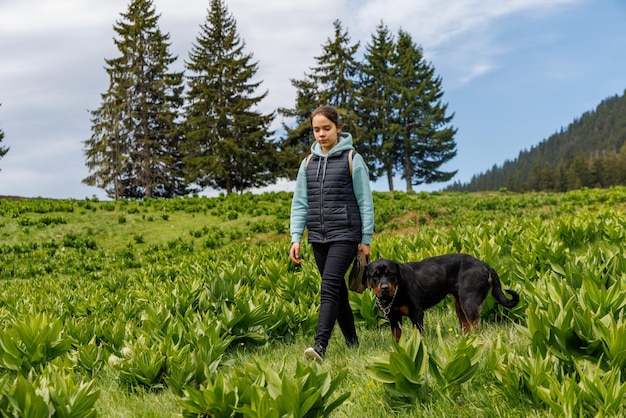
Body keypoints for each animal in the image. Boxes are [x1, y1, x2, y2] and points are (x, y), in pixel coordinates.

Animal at [360, 255, 516, 340]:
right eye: (375, 276)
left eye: (390, 274)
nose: (384, 287)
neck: (396, 292)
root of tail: (485, 265)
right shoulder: (393, 318)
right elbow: (396, 336)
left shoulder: (416, 313)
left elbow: (420, 336)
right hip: (459, 305)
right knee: (466, 325)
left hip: (469, 302)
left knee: (476, 326)